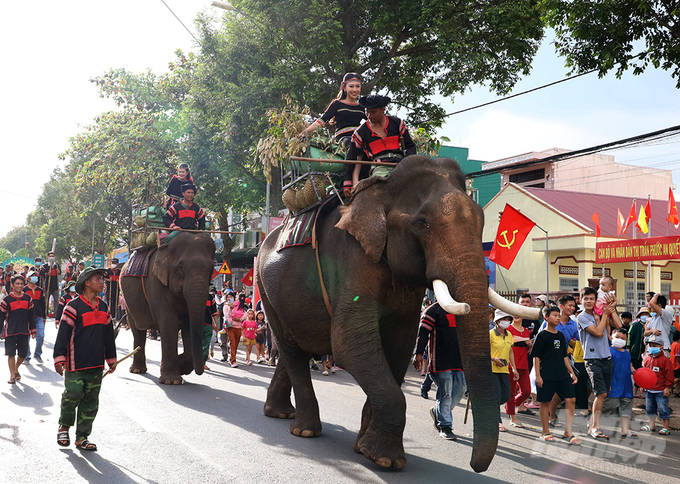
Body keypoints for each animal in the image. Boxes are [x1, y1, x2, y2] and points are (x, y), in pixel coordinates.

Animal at [258, 156, 540, 472]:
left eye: (481, 221)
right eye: (422, 223)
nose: (475, 465)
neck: (383, 189)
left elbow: (399, 347)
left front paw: (365, 449)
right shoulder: (352, 259)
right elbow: (350, 345)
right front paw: (386, 460)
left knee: (297, 351)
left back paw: (280, 414)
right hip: (265, 289)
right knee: (292, 351)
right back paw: (304, 430)